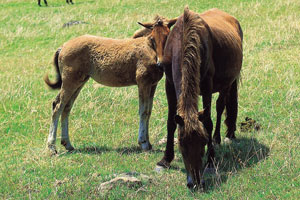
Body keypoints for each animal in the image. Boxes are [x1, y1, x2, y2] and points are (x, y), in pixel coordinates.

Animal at [154, 7, 243, 188]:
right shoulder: (169, 84)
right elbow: (170, 122)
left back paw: (218, 138)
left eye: (202, 142)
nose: (195, 182)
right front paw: (165, 160)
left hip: (227, 83)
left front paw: (210, 162)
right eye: (182, 145)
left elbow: (208, 122)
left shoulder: (207, 84)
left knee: (220, 106)